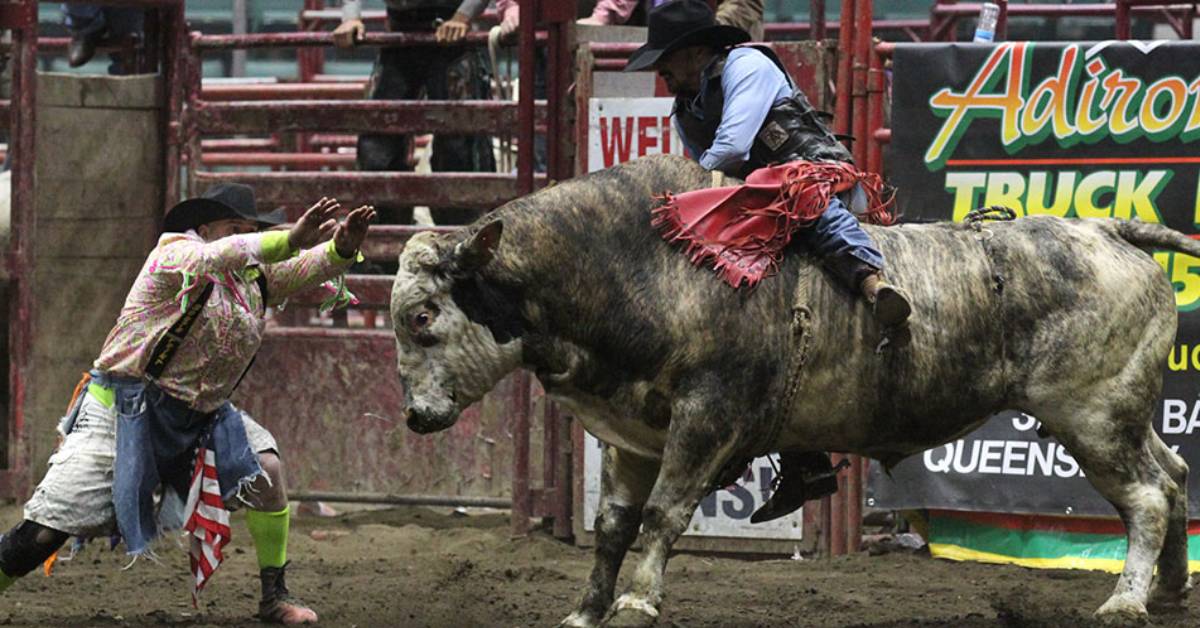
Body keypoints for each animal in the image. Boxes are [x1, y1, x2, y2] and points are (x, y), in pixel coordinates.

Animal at [390, 154, 1192, 627]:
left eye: (423, 317)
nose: (417, 417)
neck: (637, 267)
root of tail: (1110, 232)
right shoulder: (633, 432)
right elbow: (615, 523)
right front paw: (586, 612)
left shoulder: (707, 417)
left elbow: (662, 516)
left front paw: (637, 602)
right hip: (1123, 413)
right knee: (1177, 474)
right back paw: (1170, 590)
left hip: (1092, 414)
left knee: (1148, 496)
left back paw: (1125, 600)